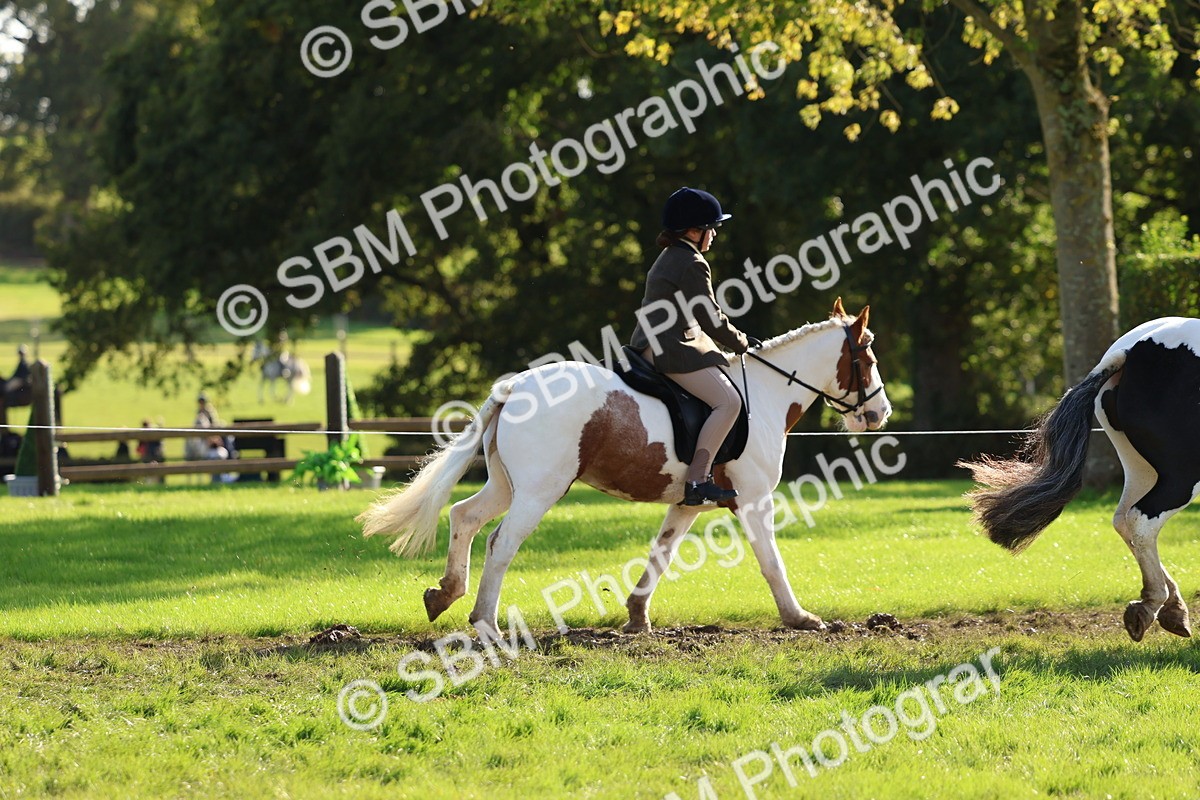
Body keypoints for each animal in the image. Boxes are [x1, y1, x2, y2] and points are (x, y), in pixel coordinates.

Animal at [357, 299, 892, 639]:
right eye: (867, 357)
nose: (879, 414)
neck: (765, 394)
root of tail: (514, 387)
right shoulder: (754, 500)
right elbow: (771, 562)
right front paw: (800, 618)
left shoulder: (688, 503)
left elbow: (661, 554)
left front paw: (636, 617)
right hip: (539, 492)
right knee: (500, 543)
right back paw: (485, 623)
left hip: (508, 486)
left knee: (464, 517)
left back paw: (444, 595)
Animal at [960, 316, 1200, 642]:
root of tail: (1129, 352)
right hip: (1182, 476)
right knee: (1141, 520)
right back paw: (1153, 605)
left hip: (1142, 469)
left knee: (1123, 520)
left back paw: (1171, 610)